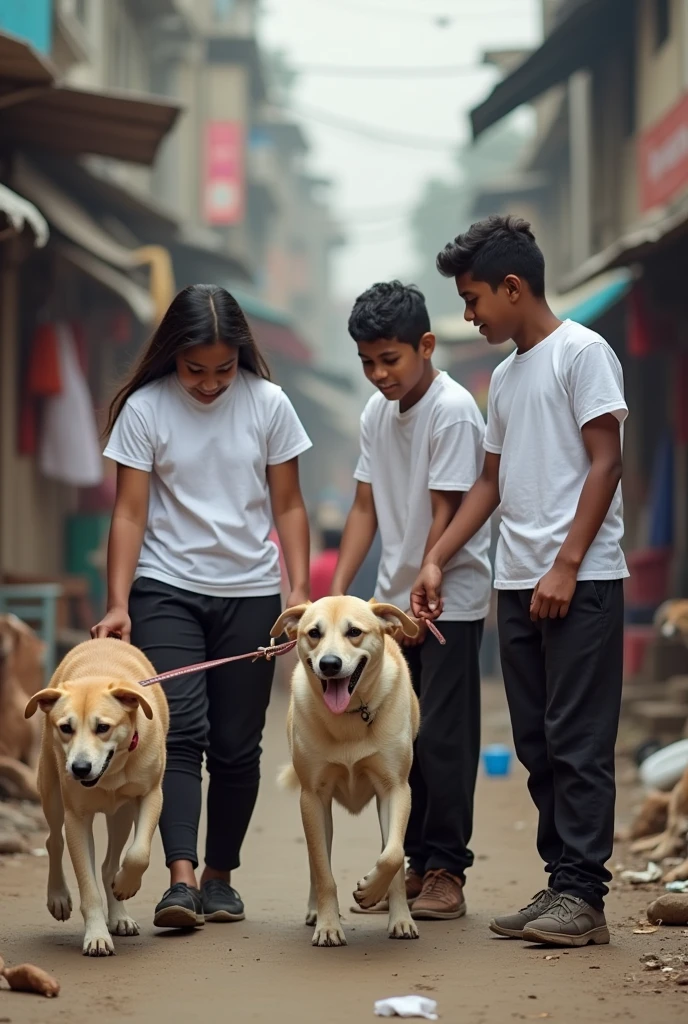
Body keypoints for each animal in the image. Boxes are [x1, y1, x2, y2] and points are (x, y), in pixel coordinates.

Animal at [26, 638, 168, 958]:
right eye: (66, 728)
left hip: (122, 814)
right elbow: (87, 886)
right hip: (51, 791)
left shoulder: (152, 795)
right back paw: (58, 896)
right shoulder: (76, 818)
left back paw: (120, 913)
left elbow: (138, 854)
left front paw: (125, 886)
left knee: (109, 865)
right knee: (53, 841)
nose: (80, 768)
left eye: (103, 727)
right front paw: (97, 936)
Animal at [272, 598, 421, 946]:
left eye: (354, 632)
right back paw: (316, 913)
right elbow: (323, 870)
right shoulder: (312, 797)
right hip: (318, 812)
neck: (352, 715)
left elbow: (393, 855)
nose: (329, 664)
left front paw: (384, 903)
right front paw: (327, 926)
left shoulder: (396, 789)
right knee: (317, 860)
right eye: (314, 633)